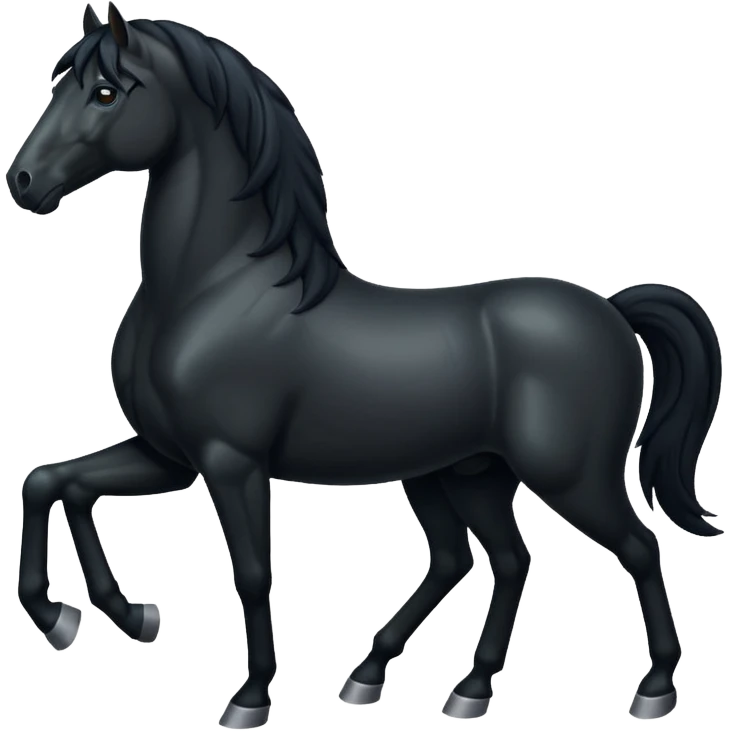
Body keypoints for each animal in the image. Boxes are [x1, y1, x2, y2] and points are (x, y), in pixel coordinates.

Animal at [9, 3, 724, 728]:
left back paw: (653, 688)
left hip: (569, 476)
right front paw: (100, 616)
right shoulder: (169, 455)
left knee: (635, 547)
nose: (23, 182)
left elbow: (254, 573)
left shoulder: (230, 460)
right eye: (59, 83)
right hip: (464, 475)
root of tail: (612, 307)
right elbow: (53, 482)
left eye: (106, 92)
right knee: (490, 558)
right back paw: (434, 683)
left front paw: (248, 696)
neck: (211, 288)